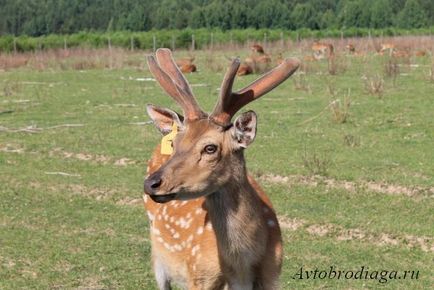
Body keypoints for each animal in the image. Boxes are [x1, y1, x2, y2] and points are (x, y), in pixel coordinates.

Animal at [142, 48, 298, 288]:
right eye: (175, 144)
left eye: (210, 148)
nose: (151, 183)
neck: (240, 270)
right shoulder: (199, 275)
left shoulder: (273, 275)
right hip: (158, 257)